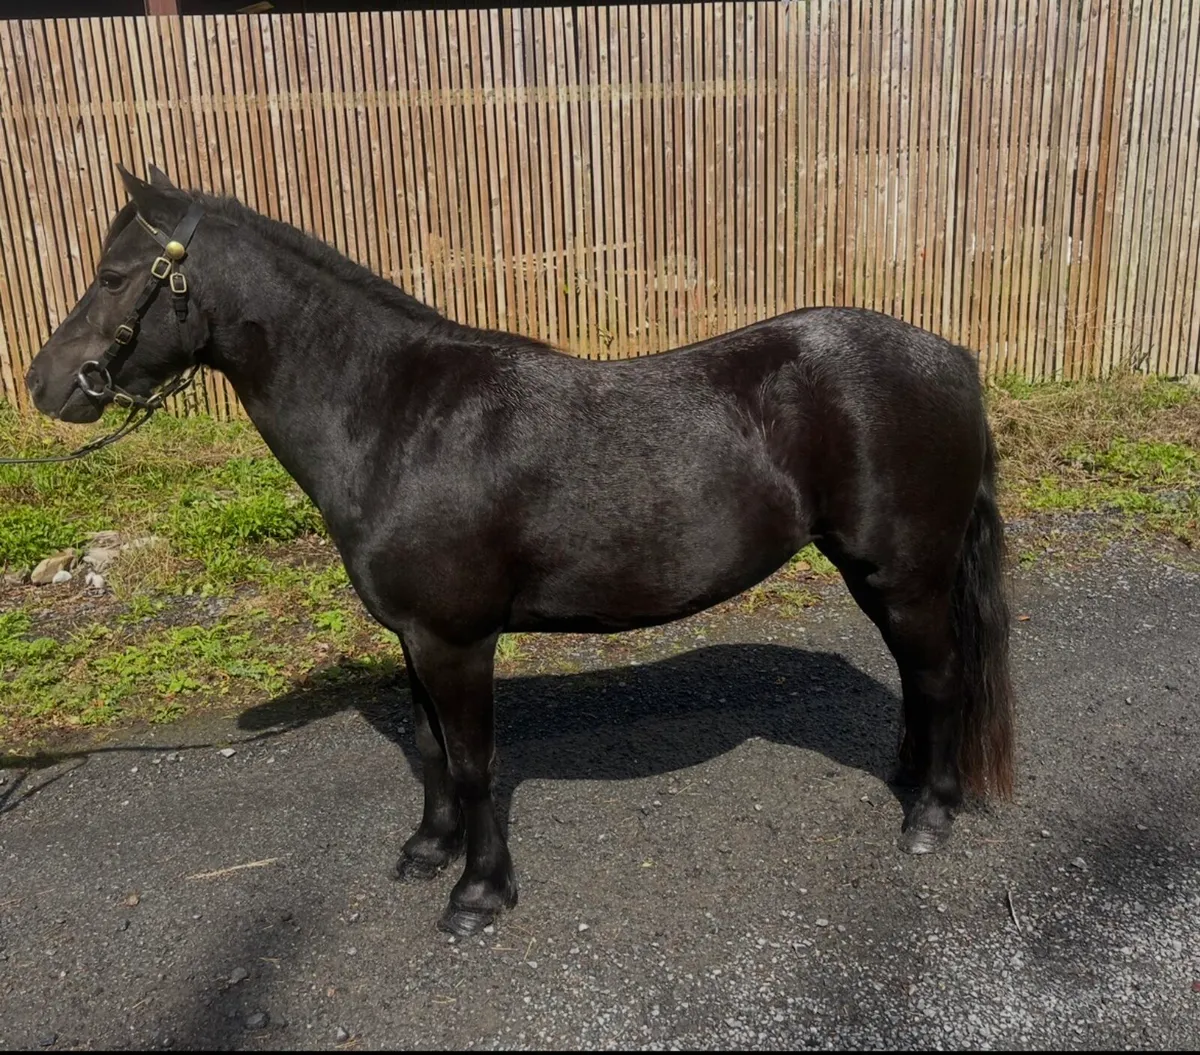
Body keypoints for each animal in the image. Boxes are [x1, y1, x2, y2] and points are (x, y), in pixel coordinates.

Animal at [25, 165, 1014, 936]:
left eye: (114, 276)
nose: (44, 384)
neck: (397, 417)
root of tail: (951, 357)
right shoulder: (415, 638)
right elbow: (429, 747)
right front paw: (427, 850)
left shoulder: (456, 641)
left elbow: (472, 763)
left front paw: (477, 894)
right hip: (878, 575)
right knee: (921, 678)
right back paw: (908, 777)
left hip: (905, 573)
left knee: (940, 676)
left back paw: (930, 814)